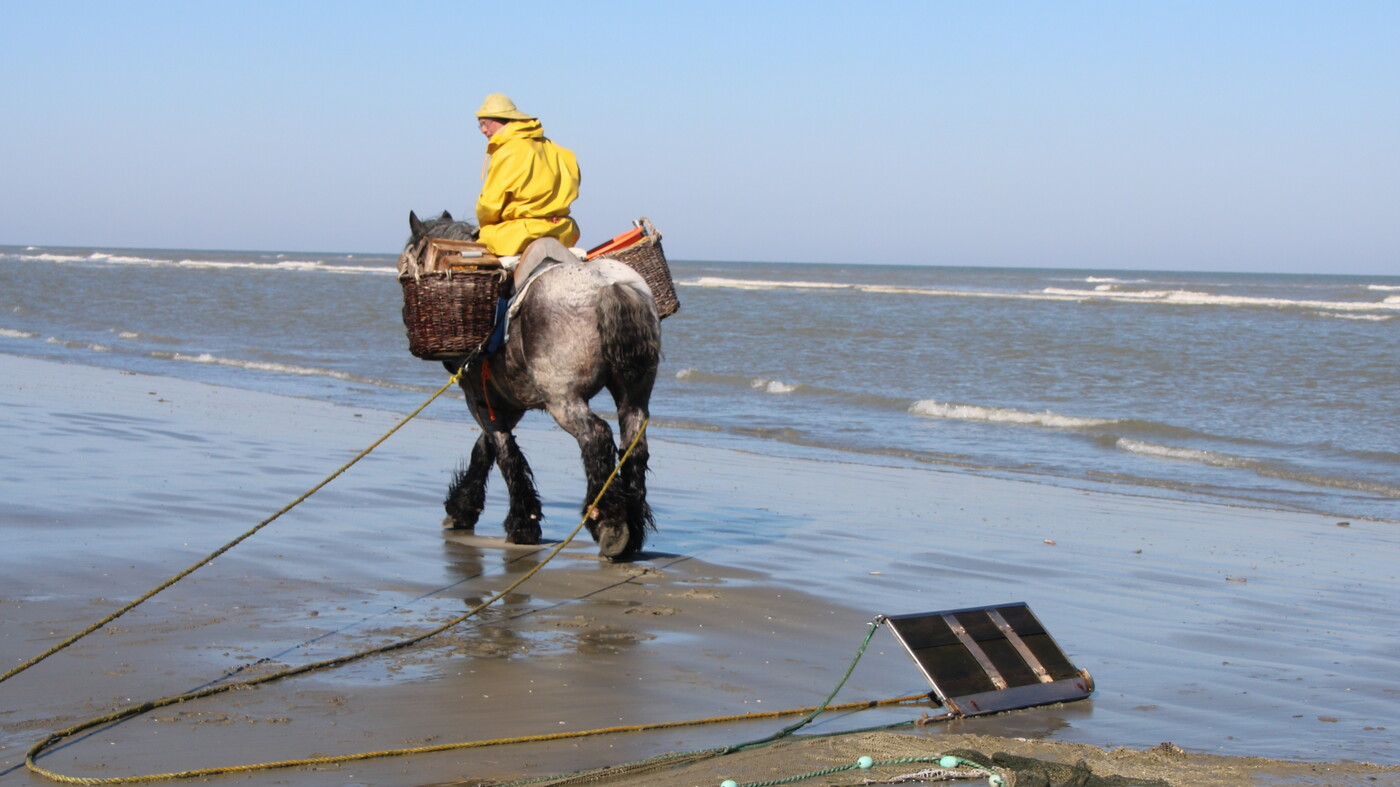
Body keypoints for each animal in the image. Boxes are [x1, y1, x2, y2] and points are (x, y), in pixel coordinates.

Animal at [405, 211, 661, 560]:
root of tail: (608, 285)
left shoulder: (479, 399)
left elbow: (503, 451)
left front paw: (521, 523)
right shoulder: (506, 404)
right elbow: (485, 449)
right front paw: (464, 508)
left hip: (563, 400)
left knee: (596, 438)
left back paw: (609, 523)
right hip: (634, 395)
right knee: (634, 446)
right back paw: (632, 530)